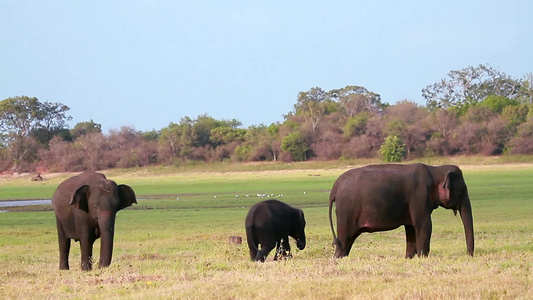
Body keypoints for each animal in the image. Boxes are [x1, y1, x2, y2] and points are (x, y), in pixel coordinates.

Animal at [328, 163, 474, 258]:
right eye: (462, 191)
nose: (468, 255)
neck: (435, 169)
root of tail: (334, 187)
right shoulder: (419, 197)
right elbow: (424, 225)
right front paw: (423, 257)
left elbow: (411, 228)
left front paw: (409, 258)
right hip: (346, 210)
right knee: (345, 239)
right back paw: (338, 258)